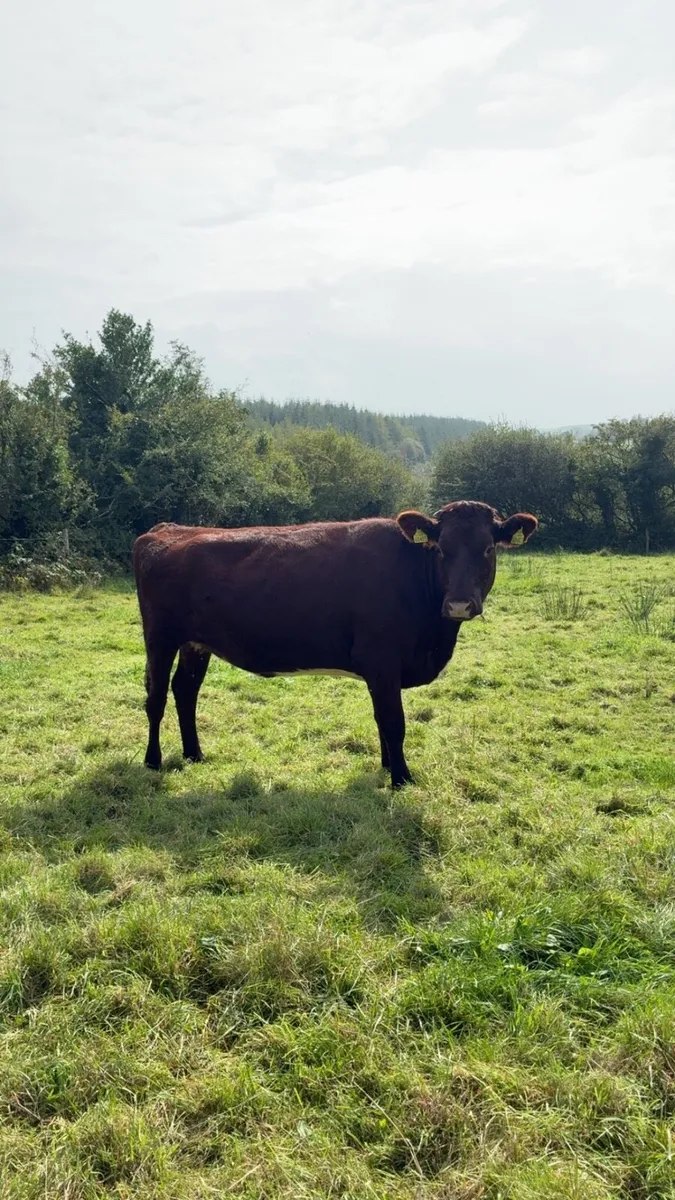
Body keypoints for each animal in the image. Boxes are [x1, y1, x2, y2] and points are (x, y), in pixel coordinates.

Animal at [133, 501, 537, 788]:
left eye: (488, 549)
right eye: (440, 549)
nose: (459, 604)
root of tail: (168, 530)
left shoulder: (382, 669)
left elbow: (381, 719)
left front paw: (387, 767)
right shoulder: (380, 658)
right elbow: (394, 721)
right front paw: (401, 778)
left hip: (195, 642)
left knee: (185, 690)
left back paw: (194, 754)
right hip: (160, 636)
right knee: (156, 696)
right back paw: (153, 761)